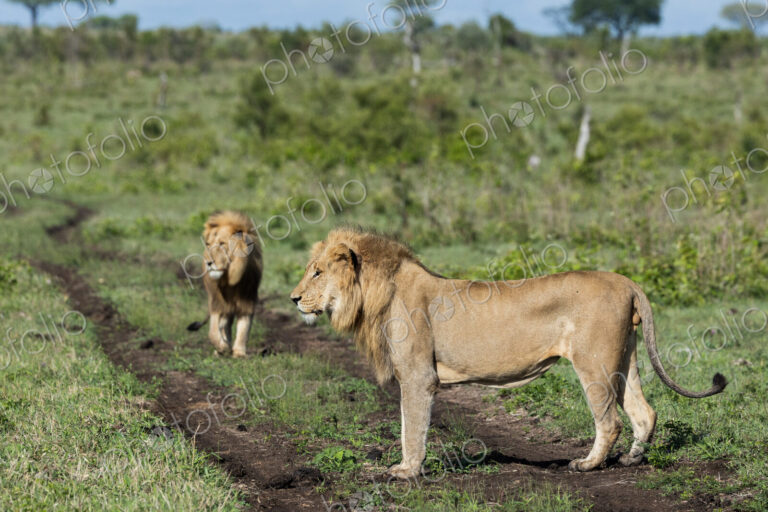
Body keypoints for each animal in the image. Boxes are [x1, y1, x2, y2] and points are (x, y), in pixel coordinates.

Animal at [187, 211, 262, 358]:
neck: (229, 282)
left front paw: (239, 352)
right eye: (208, 245)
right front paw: (223, 347)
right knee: (223, 325)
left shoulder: (247, 302)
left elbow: (244, 329)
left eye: (222, 244)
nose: (208, 263)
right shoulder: (217, 303)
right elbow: (213, 331)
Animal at [290, 227, 727, 479]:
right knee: (644, 411)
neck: (377, 293)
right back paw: (632, 461)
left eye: (317, 272)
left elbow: (411, 428)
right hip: (625, 360)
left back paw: (587, 464)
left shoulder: (418, 377)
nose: (293, 298)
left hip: (594, 363)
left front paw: (406, 470)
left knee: (611, 421)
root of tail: (626, 280)